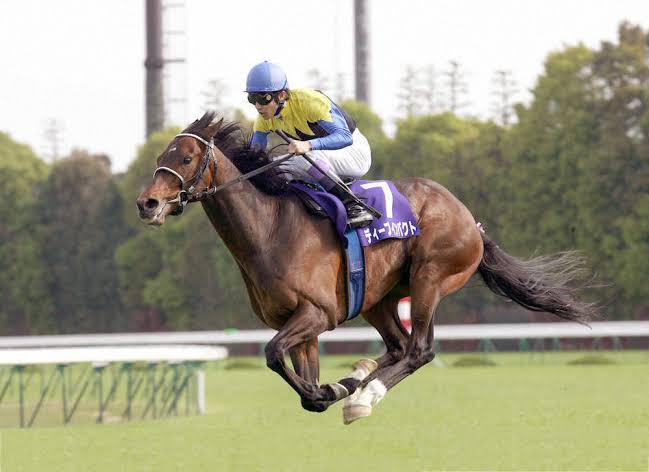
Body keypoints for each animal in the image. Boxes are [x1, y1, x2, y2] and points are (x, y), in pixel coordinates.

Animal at [136, 111, 594, 423]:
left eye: (187, 157)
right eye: (161, 154)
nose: (147, 203)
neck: (271, 229)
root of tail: (471, 221)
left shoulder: (317, 313)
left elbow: (273, 355)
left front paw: (330, 392)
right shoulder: (301, 325)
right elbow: (300, 381)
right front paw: (330, 387)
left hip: (430, 277)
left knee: (419, 349)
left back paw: (363, 397)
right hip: (379, 297)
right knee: (398, 346)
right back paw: (359, 377)